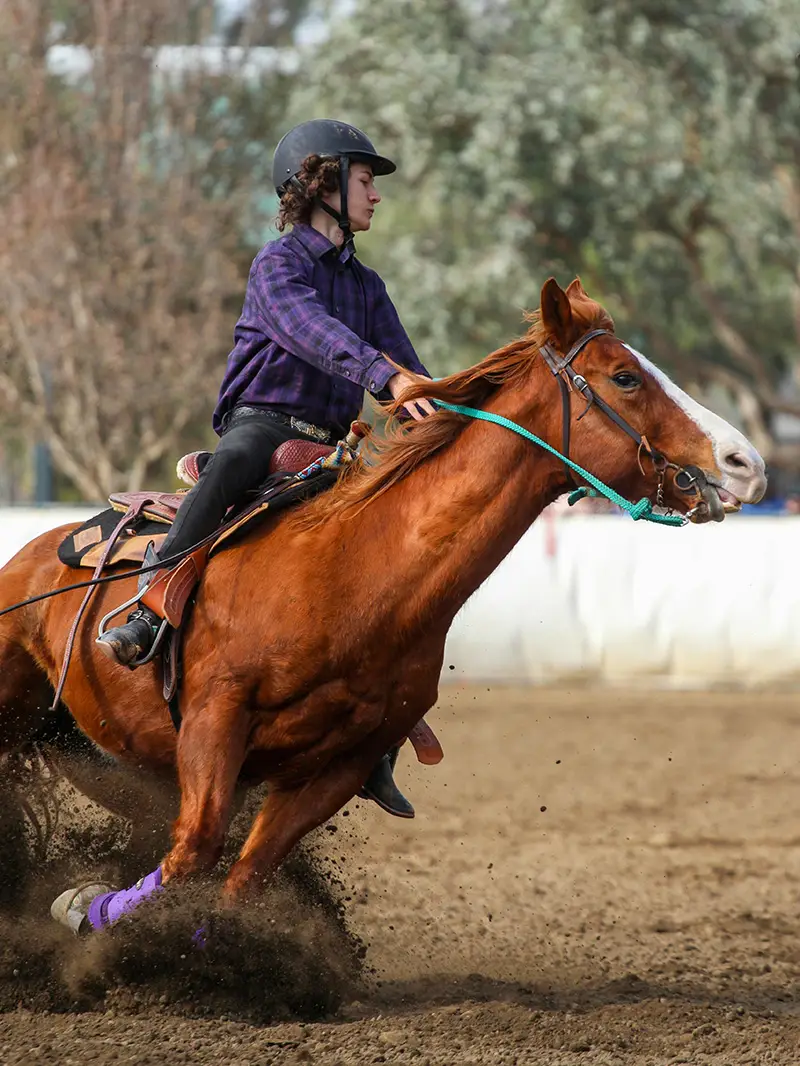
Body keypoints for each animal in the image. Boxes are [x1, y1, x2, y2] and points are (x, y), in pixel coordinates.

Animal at [0, 277, 766, 930]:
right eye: (625, 376)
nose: (747, 464)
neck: (356, 572)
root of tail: (32, 560)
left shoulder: (338, 766)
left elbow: (244, 876)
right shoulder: (216, 721)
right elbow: (195, 846)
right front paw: (83, 910)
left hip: (98, 750)